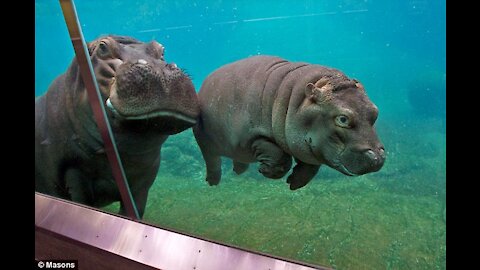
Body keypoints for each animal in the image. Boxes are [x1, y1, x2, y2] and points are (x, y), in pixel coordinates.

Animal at [193, 54, 384, 190]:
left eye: (375, 112)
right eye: (343, 119)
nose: (378, 156)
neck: (293, 99)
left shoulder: (305, 146)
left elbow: (311, 166)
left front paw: (293, 183)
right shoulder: (250, 136)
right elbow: (277, 156)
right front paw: (266, 171)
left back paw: (238, 171)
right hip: (205, 142)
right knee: (212, 160)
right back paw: (212, 182)